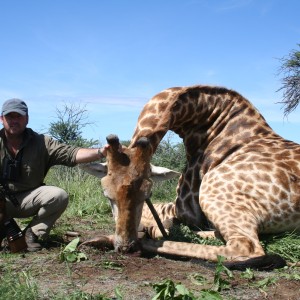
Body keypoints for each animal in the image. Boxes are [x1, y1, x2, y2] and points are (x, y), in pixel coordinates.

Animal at [80, 84, 300, 270]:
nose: (126, 247)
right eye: (107, 195)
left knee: (246, 247)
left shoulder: (186, 208)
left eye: (146, 195)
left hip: (213, 193)